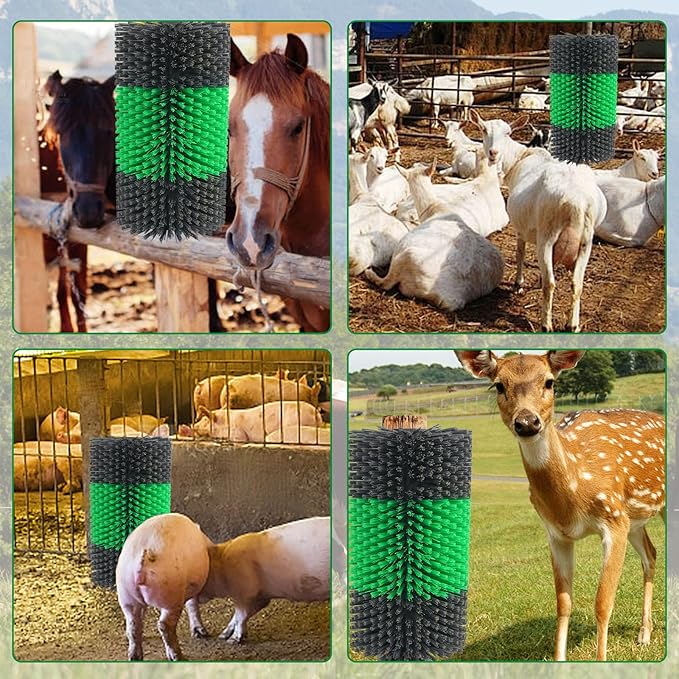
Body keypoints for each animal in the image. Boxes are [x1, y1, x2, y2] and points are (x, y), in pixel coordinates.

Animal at [470, 109, 607, 333]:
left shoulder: (521, 228)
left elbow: (520, 253)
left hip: (547, 237)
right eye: (483, 130)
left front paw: (518, 284)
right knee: (577, 283)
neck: (521, 157)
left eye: (508, 133)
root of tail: (576, 200)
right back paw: (572, 324)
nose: (493, 153)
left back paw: (546, 324)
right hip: (586, 241)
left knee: (550, 284)